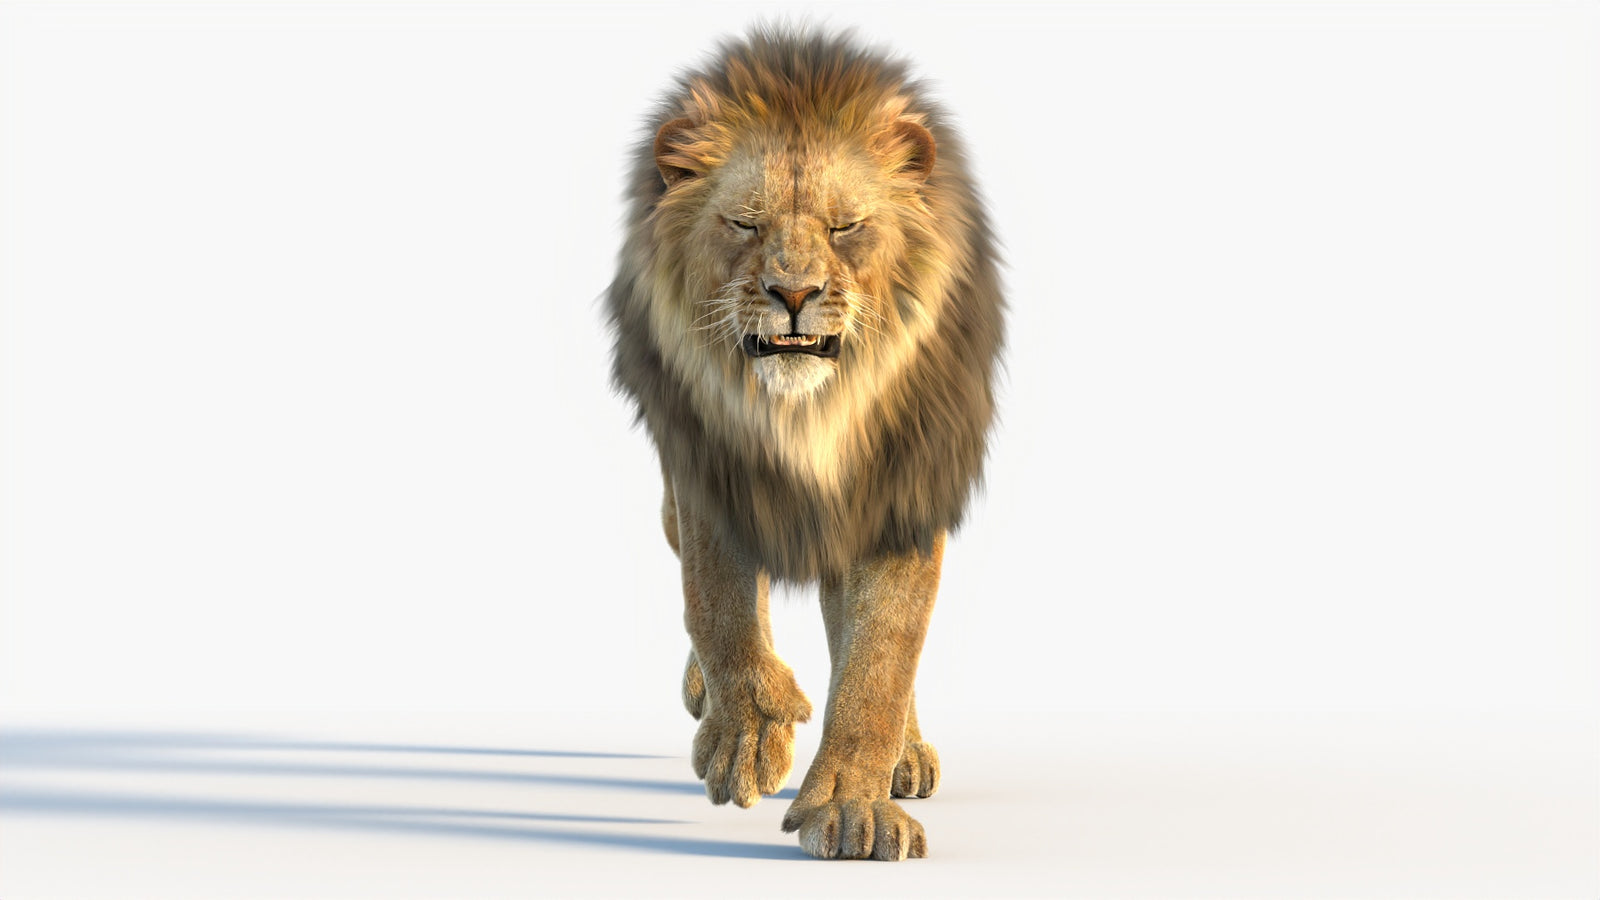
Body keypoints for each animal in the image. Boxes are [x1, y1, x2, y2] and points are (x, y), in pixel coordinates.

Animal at [605, 28, 1003, 861]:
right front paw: (748, 737)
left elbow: (881, 659)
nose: (793, 294)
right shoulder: (709, 469)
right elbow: (718, 601)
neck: (810, 417)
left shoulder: (904, 488)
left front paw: (853, 809)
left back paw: (905, 756)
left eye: (845, 227)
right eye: (745, 224)